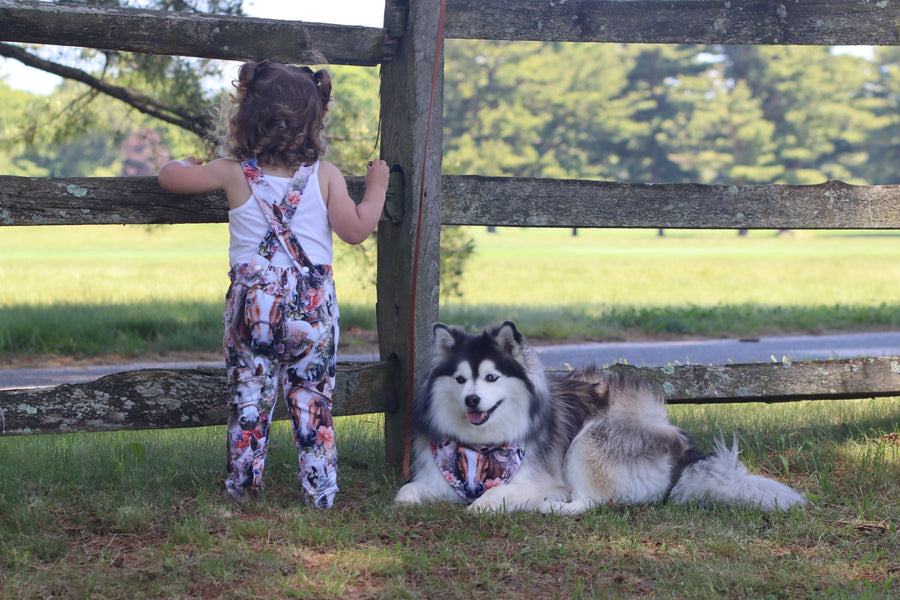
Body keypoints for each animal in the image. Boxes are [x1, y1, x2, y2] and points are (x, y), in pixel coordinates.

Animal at [394, 322, 808, 512]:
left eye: (492, 378)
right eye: (461, 379)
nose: (472, 400)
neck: (483, 447)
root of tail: (682, 448)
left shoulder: (541, 479)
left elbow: (486, 501)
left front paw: (489, 505)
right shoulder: (436, 476)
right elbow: (405, 492)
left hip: (591, 439)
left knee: (587, 503)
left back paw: (551, 509)